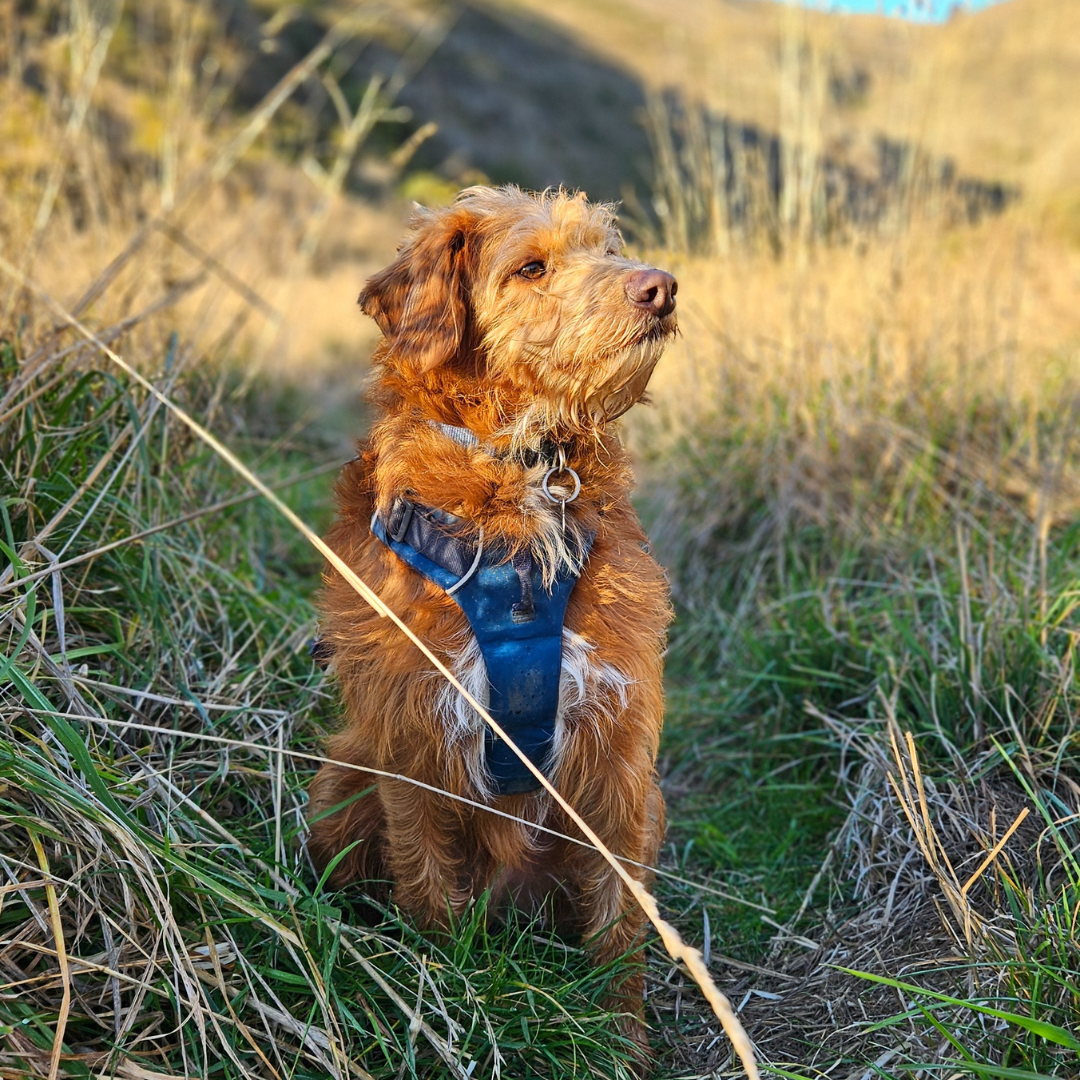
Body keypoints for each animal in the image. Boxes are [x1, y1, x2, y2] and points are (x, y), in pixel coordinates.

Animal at [304, 187, 673, 1054]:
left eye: (608, 249)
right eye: (531, 267)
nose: (662, 287)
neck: (520, 474)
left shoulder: (621, 756)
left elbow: (617, 931)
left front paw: (622, 1045)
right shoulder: (412, 744)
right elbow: (428, 893)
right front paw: (445, 1001)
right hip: (339, 773)